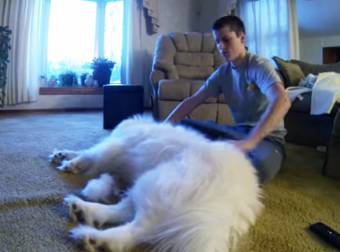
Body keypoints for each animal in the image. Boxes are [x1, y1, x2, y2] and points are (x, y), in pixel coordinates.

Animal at [49, 116, 262, 252]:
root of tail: (238, 200)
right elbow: (83, 151)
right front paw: (62, 154)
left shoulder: (114, 147)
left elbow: (90, 154)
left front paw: (71, 164)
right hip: (154, 188)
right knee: (126, 214)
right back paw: (83, 211)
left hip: (158, 183)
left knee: (137, 228)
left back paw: (93, 238)